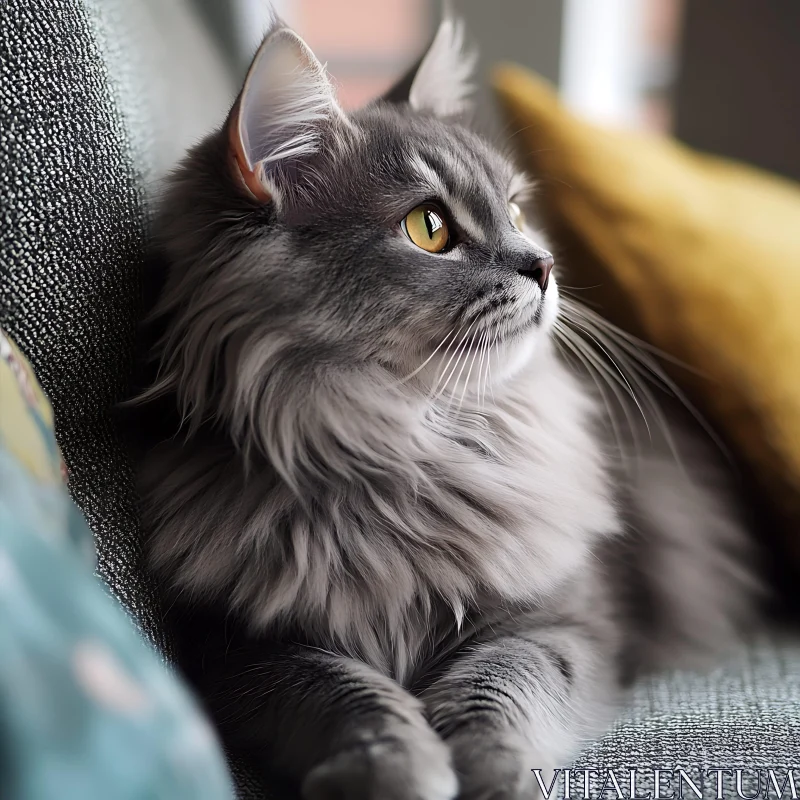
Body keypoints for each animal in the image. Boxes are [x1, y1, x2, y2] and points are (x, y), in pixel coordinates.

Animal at [133, 12, 768, 800]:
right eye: (429, 228)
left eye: (518, 210)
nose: (545, 266)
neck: (414, 453)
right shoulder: (243, 650)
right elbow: (345, 697)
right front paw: (391, 767)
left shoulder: (566, 624)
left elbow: (499, 688)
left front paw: (491, 769)